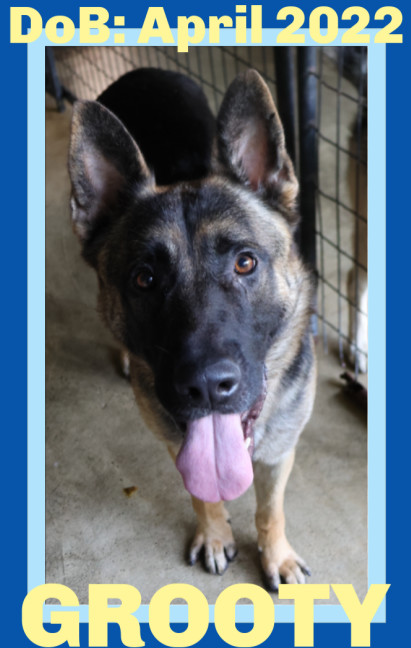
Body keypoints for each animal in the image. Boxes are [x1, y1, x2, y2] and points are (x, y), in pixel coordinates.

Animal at [69, 68, 318, 588]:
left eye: (245, 263)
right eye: (144, 279)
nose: (205, 386)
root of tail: (141, 70)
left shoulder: (281, 449)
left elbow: (271, 511)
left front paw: (276, 555)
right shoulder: (174, 439)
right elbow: (203, 493)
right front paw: (216, 536)